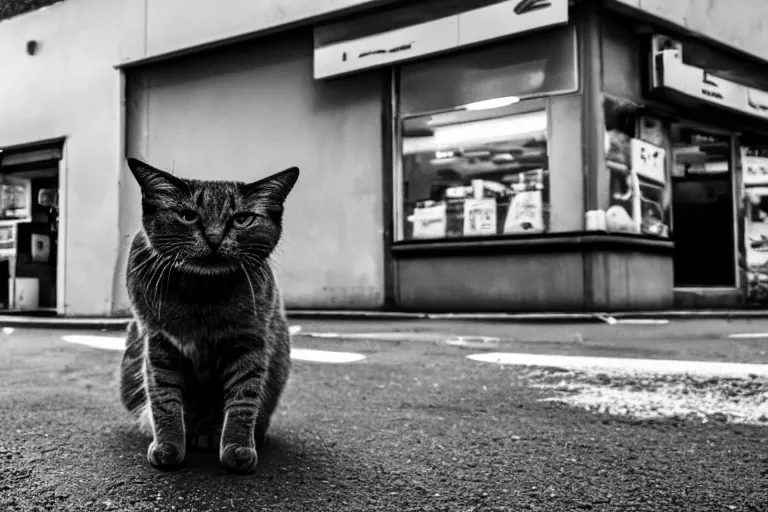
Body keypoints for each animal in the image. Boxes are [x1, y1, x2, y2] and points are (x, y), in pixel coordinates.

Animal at [118, 158, 298, 474]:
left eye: (242, 219)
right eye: (188, 215)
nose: (214, 239)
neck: (202, 294)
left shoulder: (250, 340)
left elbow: (244, 398)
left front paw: (237, 446)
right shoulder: (158, 341)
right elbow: (163, 398)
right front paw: (169, 445)